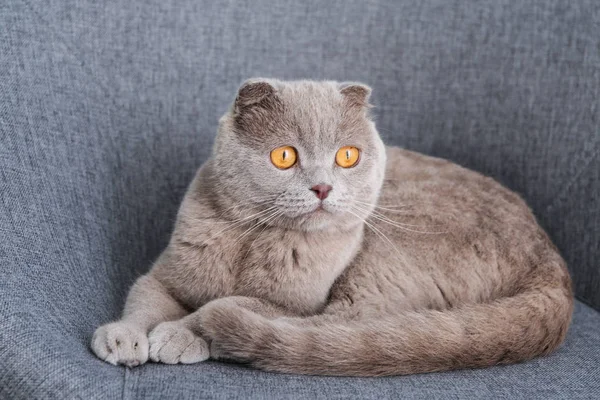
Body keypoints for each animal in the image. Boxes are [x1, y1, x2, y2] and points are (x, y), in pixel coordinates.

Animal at [89, 78, 572, 376]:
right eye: (285, 155)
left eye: (347, 156)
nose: (323, 187)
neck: (254, 238)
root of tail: (552, 263)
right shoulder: (165, 276)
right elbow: (145, 299)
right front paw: (122, 338)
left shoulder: (296, 302)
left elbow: (241, 303)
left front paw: (179, 332)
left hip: (388, 247)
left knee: (349, 329)